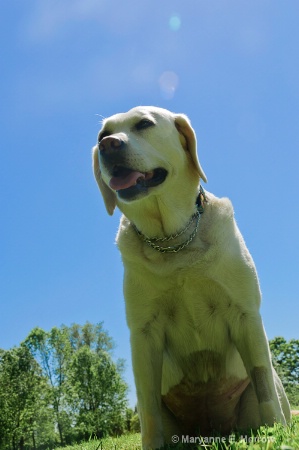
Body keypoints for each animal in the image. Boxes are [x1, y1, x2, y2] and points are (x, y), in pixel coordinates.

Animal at [92, 106, 292, 450]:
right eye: (103, 135)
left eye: (144, 123)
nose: (108, 145)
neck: (174, 243)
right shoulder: (144, 333)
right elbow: (148, 406)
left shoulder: (246, 315)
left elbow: (262, 381)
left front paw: (275, 433)